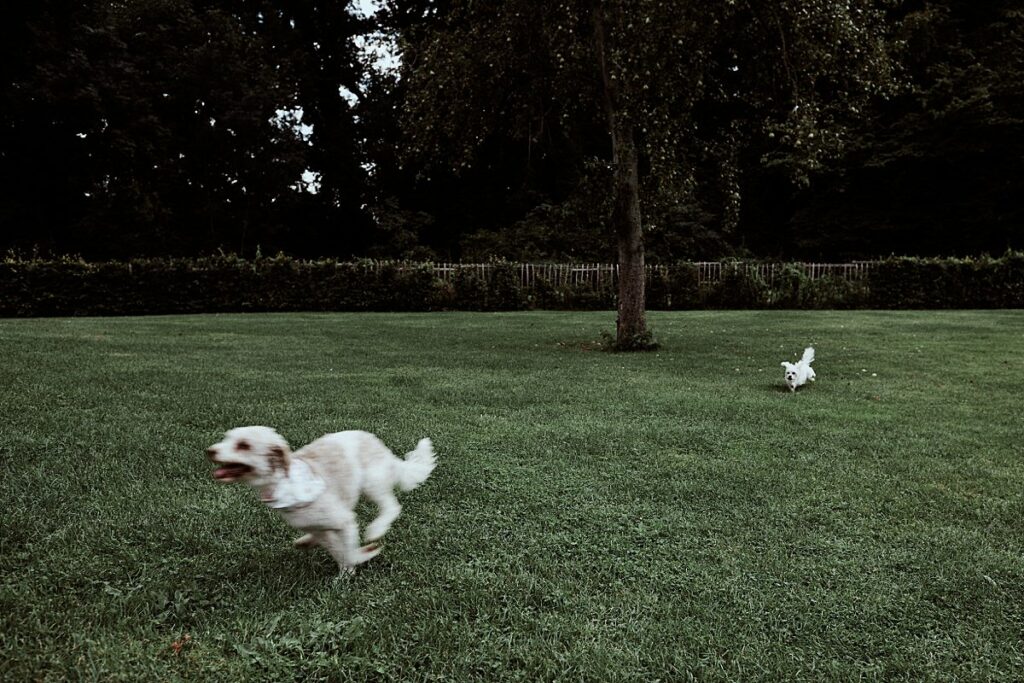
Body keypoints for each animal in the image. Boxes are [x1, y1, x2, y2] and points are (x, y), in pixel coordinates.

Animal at [205, 428, 434, 577]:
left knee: (391, 506)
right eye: (226, 438)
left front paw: (349, 570)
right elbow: (336, 549)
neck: (284, 482)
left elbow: (347, 551)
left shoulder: (344, 521)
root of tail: (382, 446)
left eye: (243, 445)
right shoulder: (320, 527)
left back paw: (376, 529)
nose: (210, 450)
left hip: (372, 482)